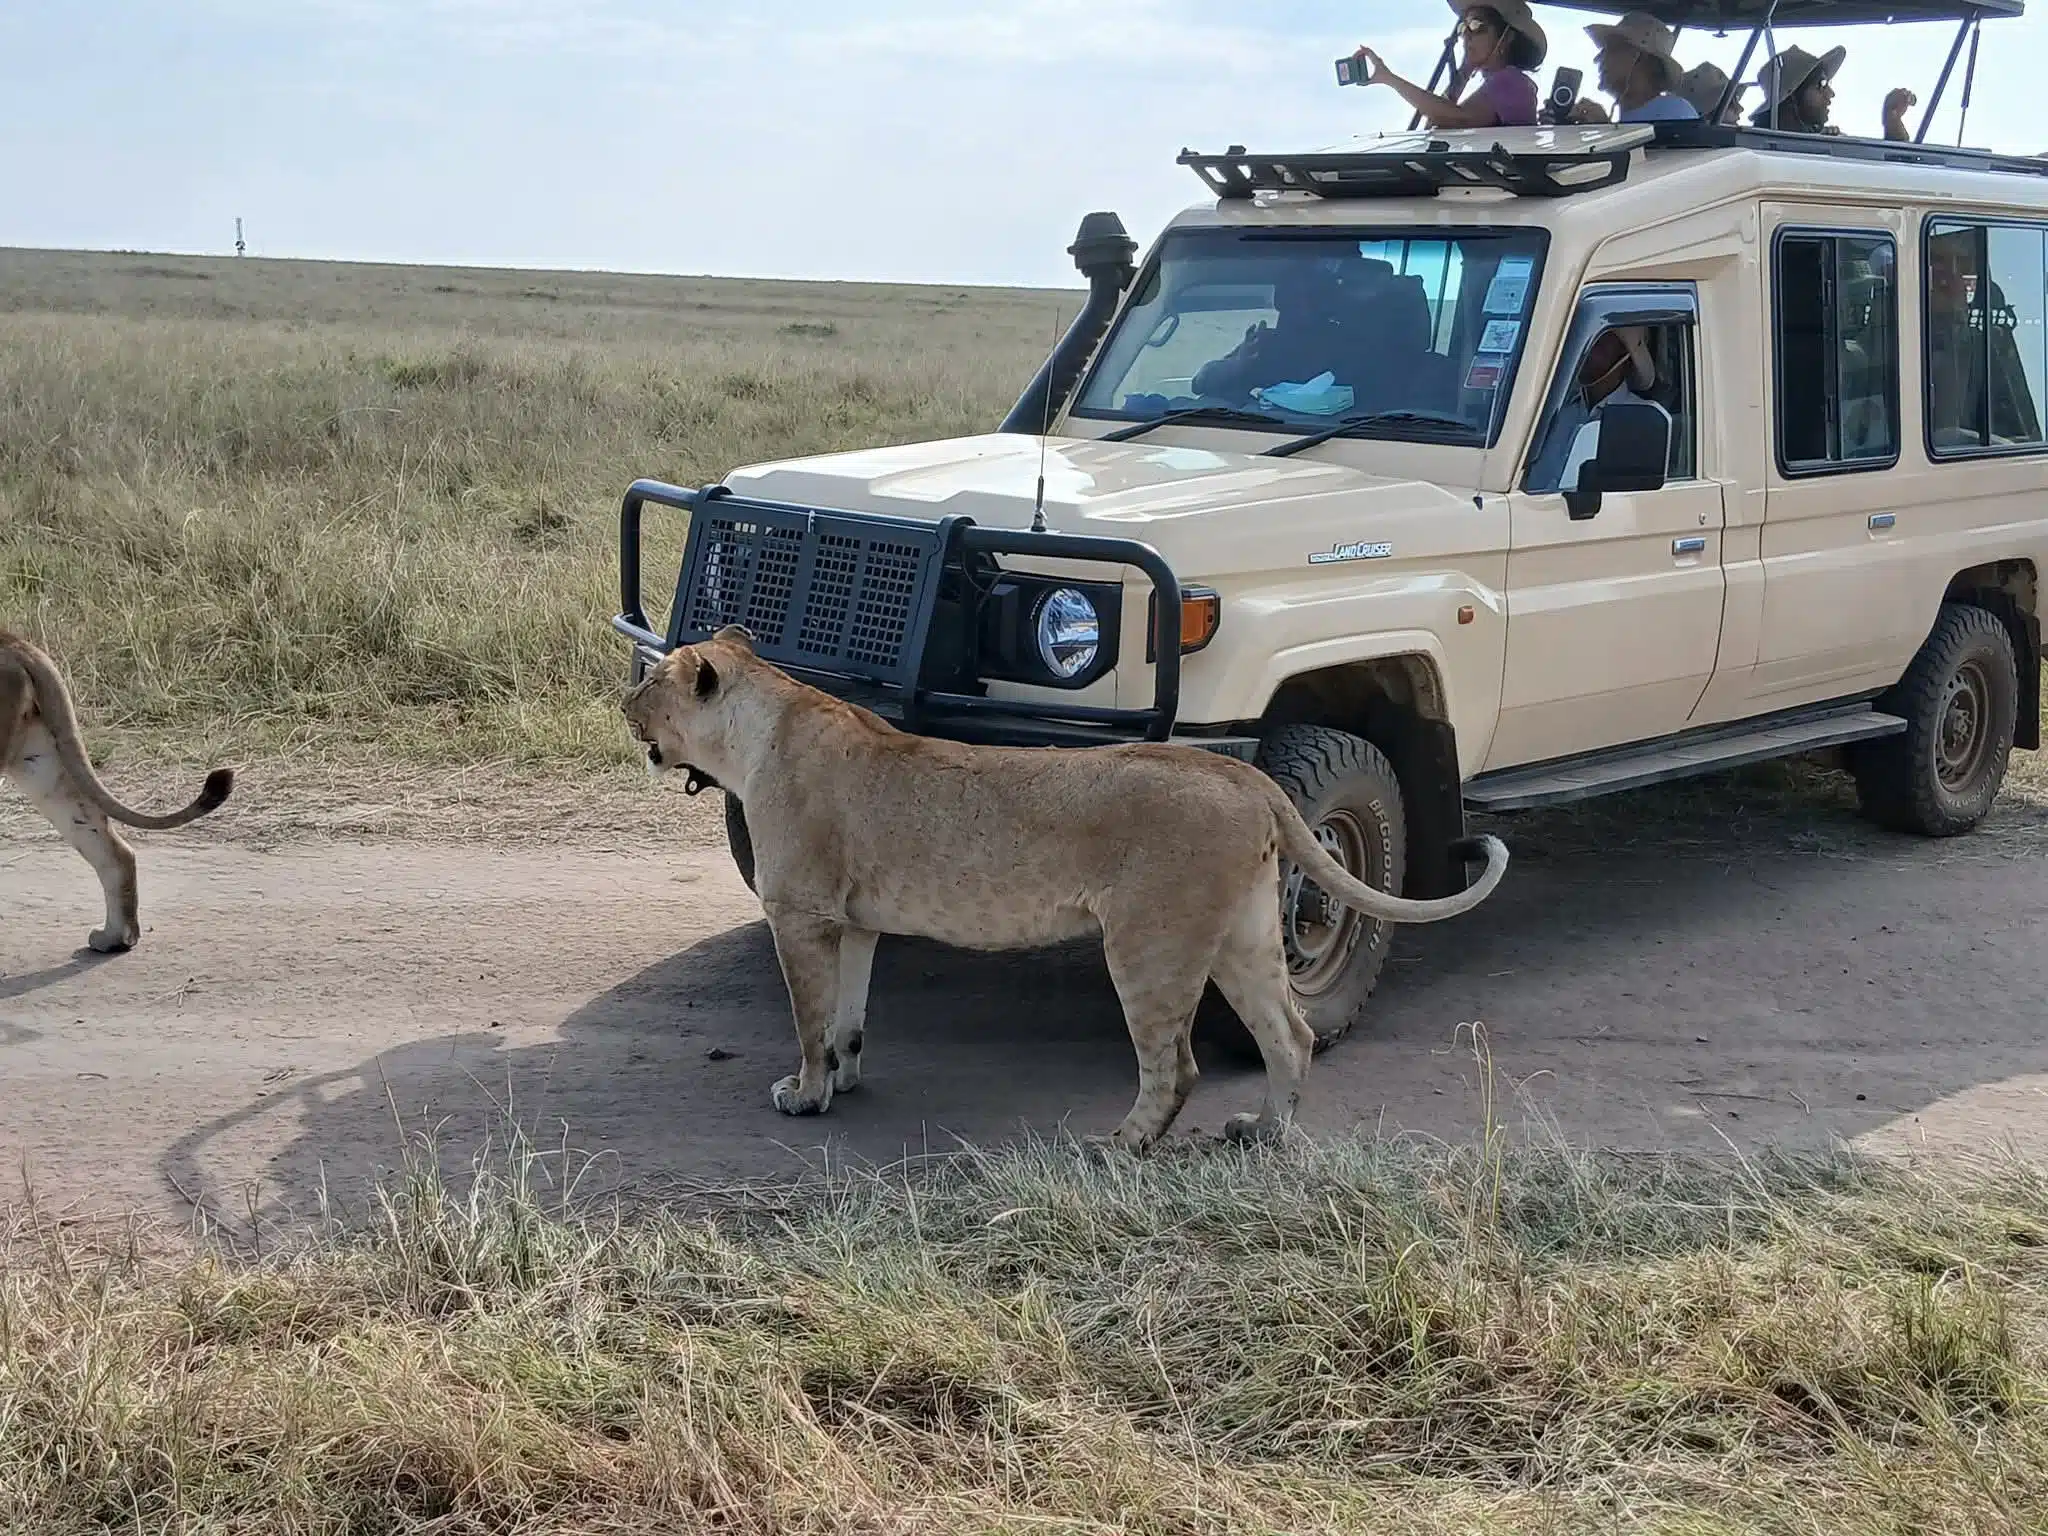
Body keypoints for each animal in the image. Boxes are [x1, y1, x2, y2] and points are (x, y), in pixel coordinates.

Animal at [623, 626, 1508, 1151]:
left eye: (654, 681)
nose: (622, 699)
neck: (759, 730)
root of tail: (1239, 773)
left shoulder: (800, 914)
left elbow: (809, 1019)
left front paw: (806, 1094)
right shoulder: (857, 921)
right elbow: (848, 1015)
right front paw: (843, 1078)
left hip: (1149, 942)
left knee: (1176, 1064)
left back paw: (1119, 1147)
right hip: (1245, 934)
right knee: (1288, 1034)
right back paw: (1263, 1131)